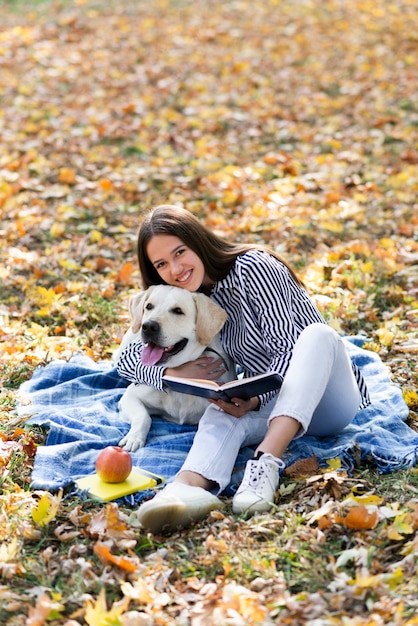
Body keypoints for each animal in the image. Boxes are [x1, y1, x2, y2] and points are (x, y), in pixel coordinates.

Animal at [117, 286, 235, 450]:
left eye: (178, 311)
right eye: (149, 306)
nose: (148, 326)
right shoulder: (130, 396)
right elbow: (144, 417)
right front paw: (134, 438)